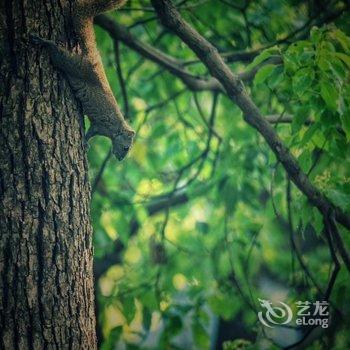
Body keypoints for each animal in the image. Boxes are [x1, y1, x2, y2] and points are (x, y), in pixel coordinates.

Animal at [29, 0, 134, 161]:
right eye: (126, 147)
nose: (121, 159)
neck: (116, 128)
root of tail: (93, 59)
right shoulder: (101, 125)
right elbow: (91, 132)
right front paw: (85, 142)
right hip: (74, 65)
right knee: (58, 54)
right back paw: (43, 42)